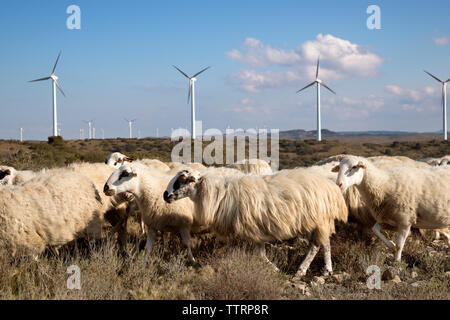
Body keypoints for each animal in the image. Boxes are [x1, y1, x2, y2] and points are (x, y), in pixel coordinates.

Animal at [164, 168, 348, 278]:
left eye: (183, 179)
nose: (165, 195)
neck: (217, 195)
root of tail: (331, 188)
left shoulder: (254, 229)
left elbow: (259, 254)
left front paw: (275, 270)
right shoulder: (239, 229)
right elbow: (231, 249)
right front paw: (228, 265)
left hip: (317, 219)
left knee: (317, 245)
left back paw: (306, 271)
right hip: (316, 221)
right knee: (323, 243)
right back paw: (322, 270)